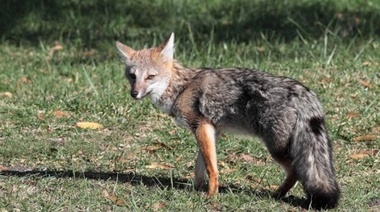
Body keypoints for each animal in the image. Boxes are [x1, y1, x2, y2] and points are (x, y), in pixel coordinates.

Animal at [116, 32, 342, 209]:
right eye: (132, 76)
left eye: (150, 77)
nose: (134, 94)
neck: (181, 87)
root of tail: (303, 92)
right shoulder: (210, 129)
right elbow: (201, 166)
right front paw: (197, 190)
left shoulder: (201, 126)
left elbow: (211, 168)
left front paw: (210, 196)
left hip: (276, 149)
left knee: (295, 171)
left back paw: (276, 194)